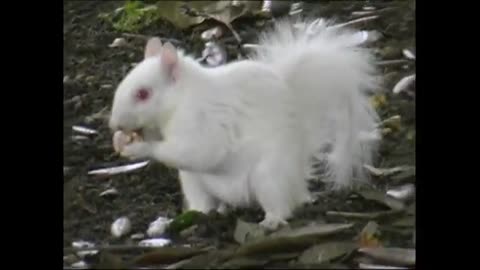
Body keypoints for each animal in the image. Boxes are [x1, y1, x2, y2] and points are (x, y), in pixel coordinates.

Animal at [109, 19, 382, 230]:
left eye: (143, 94)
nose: (114, 124)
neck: (181, 100)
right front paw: (121, 140)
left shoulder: (203, 123)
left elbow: (197, 151)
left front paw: (139, 148)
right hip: (194, 182)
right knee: (205, 201)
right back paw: (203, 214)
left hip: (268, 177)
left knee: (281, 203)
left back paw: (271, 220)